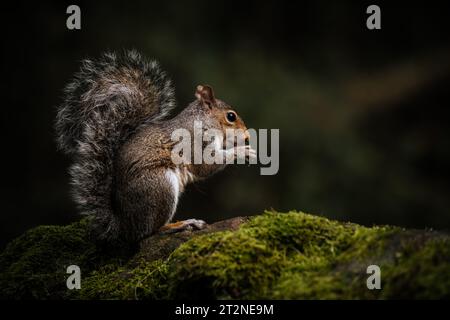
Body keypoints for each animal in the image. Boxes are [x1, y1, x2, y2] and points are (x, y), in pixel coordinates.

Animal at [54, 50, 255, 245]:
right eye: (231, 116)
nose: (247, 137)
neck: (204, 122)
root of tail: (124, 226)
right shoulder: (195, 143)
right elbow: (206, 165)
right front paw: (241, 151)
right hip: (160, 185)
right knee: (150, 231)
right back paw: (182, 224)